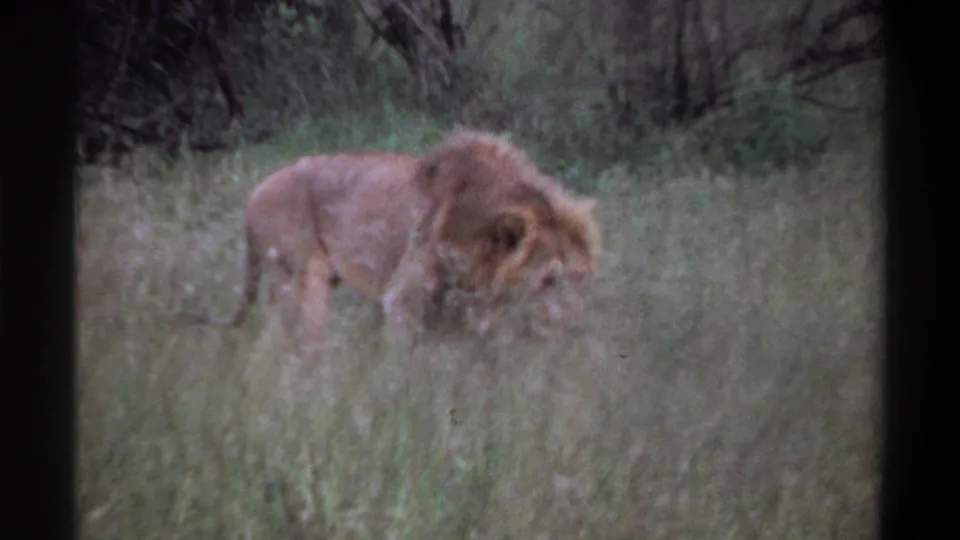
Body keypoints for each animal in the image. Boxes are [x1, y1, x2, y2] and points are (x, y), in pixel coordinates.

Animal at [189, 128, 602, 356]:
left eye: (583, 279)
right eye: (549, 281)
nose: (577, 331)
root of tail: (254, 194)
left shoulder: (461, 317)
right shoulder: (404, 298)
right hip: (299, 282)